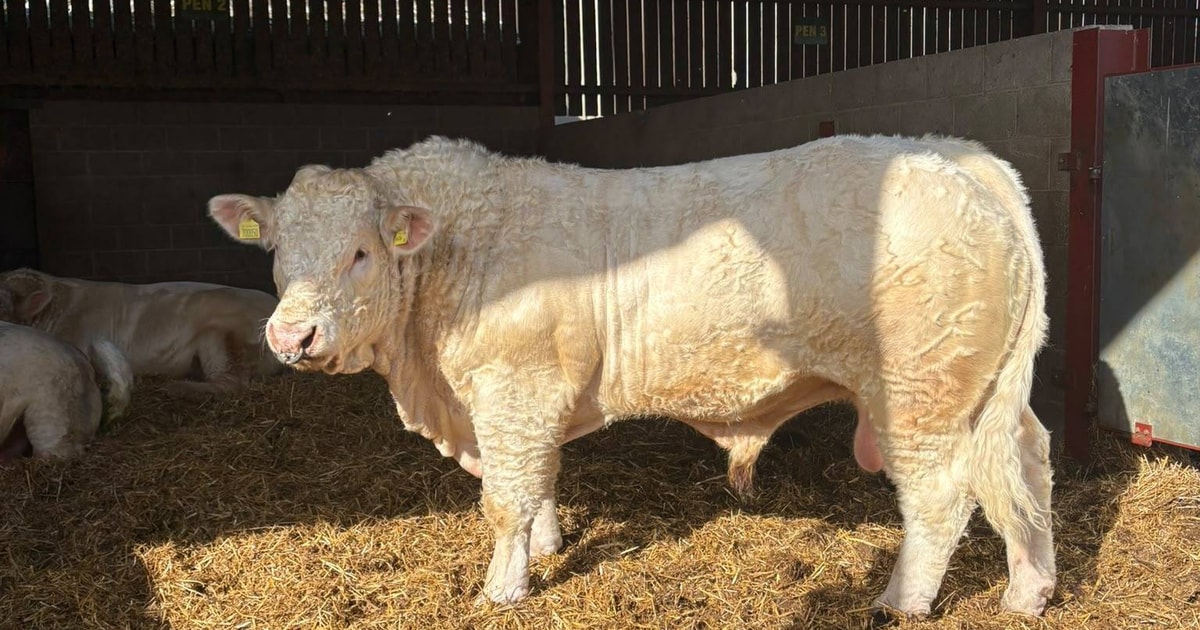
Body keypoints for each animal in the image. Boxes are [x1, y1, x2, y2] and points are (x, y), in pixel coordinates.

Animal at [206, 133, 1055, 618]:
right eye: (276, 250)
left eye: (360, 252)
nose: (292, 334)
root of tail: (960, 162)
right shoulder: (524, 405)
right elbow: (541, 483)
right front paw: (548, 547)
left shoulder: (513, 391)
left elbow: (507, 501)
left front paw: (504, 588)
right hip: (987, 396)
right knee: (1026, 468)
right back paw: (1028, 590)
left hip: (918, 393)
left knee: (940, 500)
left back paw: (901, 602)